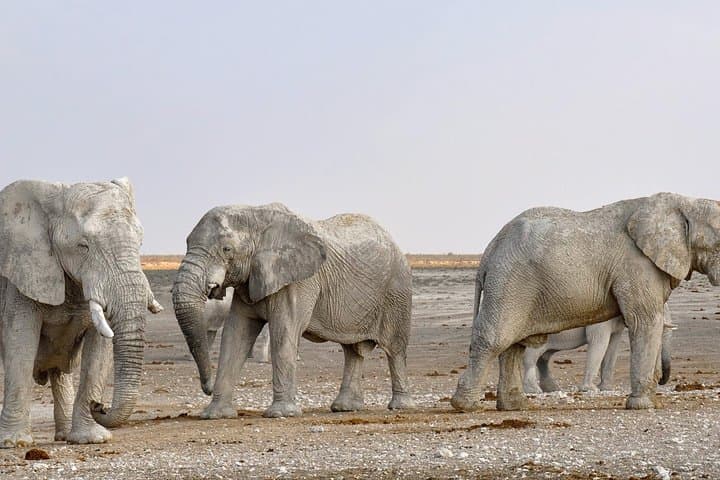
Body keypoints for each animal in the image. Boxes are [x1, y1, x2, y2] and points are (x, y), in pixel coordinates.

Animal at [0, 178, 162, 447]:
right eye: (83, 246)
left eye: (140, 243)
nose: (101, 405)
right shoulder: (22, 272)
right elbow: (20, 342)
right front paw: (14, 443)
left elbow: (99, 350)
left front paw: (92, 439)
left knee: (59, 372)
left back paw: (65, 436)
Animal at [172, 203, 414, 419]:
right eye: (187, 242)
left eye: (227, 249)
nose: (207, 388)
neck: (255, 215)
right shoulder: (250, 280)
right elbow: (236, 334)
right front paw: (215, 415)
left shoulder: (299, 280)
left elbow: (284, 331)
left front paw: (281, 414)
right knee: (353, 351)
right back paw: (345, 408)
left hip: (397, 290)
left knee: (394, 348)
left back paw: (399, 406)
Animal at [522, 306, 675, 394]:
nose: (660, 380)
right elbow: (599, 342)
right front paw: (590, 389)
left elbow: (613, 346)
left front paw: (605, 388)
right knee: (531, 357)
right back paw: (534, 391)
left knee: (543, 358)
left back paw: (551, 389)